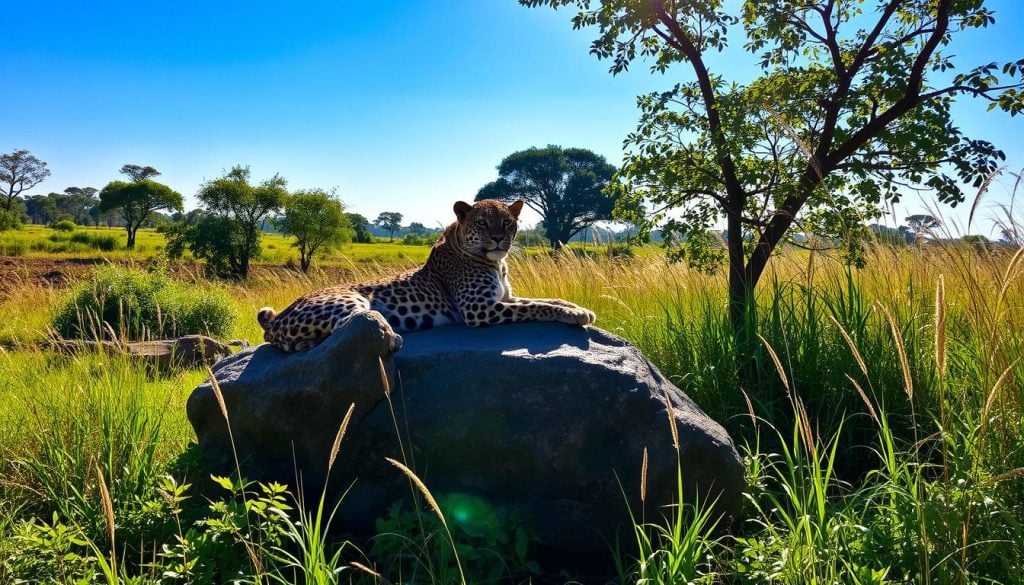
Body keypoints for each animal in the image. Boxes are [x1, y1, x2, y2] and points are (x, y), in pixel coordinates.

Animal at [258, 198, 598, 352]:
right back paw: (392, 337)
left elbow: (547, 299)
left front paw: (576, 308)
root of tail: (276, 320)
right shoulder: (478, 310)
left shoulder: (506, 298)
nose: (499, 238)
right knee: (353, 324)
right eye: (482, 222)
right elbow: (537, 307)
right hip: (348, 298)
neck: (497, 264)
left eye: (507, 222)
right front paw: (575, 314)